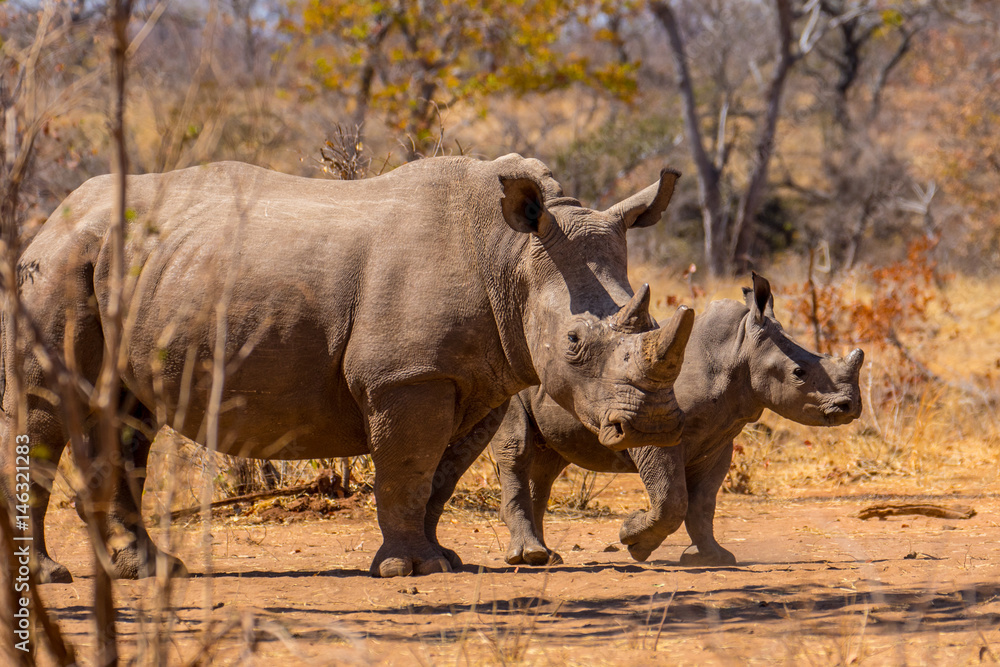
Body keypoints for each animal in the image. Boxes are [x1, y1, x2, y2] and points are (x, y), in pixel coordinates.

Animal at [0, 154, 694, 581]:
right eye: (574, 342)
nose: (652, 428)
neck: (512, 256)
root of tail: (53, 217)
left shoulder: (476, 378)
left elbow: (439, 477)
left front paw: (440, 560)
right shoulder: (405, 377)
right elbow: (407, 468)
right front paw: (411, 571)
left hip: (127, 269)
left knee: (127, 417)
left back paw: (149, 571)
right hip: (59, 267)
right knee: (51, 409)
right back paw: (55, 577)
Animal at [492, 273, 864, 566]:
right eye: (799, 373)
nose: (850, 407)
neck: (737, 352)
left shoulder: (719, 441)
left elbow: (703, 503)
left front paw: (712, 558)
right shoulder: (651, 430)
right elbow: (672, 496)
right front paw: (633, 540)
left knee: (547, 464)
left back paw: (546, 557)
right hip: (510, 378)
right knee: (519, 449)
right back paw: (529, 557)